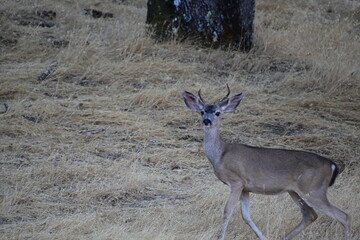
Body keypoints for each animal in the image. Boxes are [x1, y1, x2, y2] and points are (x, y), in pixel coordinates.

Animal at [181, 85, 350, 240]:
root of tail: (332, 165)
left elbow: (227, 211)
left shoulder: (236, 181)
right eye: (202, 111)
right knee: (310, 215)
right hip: (296, 191)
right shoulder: (246, 188)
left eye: (217, 112)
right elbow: (246, 216)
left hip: (314, 189)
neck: (220, 154)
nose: (207, 121)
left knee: (344, 216)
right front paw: (263, 237)